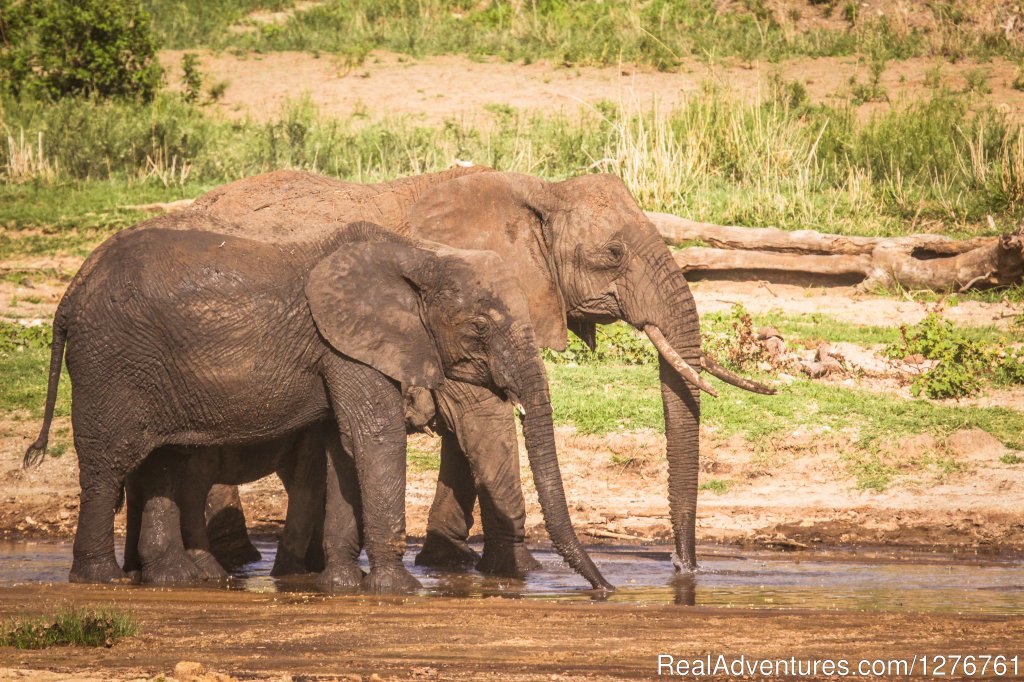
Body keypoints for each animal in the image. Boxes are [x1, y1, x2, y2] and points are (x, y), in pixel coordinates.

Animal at [25, 219, 606, 589]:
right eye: (480, 327)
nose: (603, 591)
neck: (420, 255)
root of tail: (70, 294)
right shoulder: (346, 346)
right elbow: (373, 440)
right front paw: (398, 590)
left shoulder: (343, 354)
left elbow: (340, 451)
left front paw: (344, 584)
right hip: (111, 364)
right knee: (108, 463)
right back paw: (100, 581)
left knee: (164, 462)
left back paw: (179, 579)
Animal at [180, 166, 770, 569]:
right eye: (612, 254)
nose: (683, 567)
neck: (537, 192)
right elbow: (484, 418)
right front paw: (520, 571)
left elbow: (470, 428)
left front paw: (447, 560)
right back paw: (234, 559)